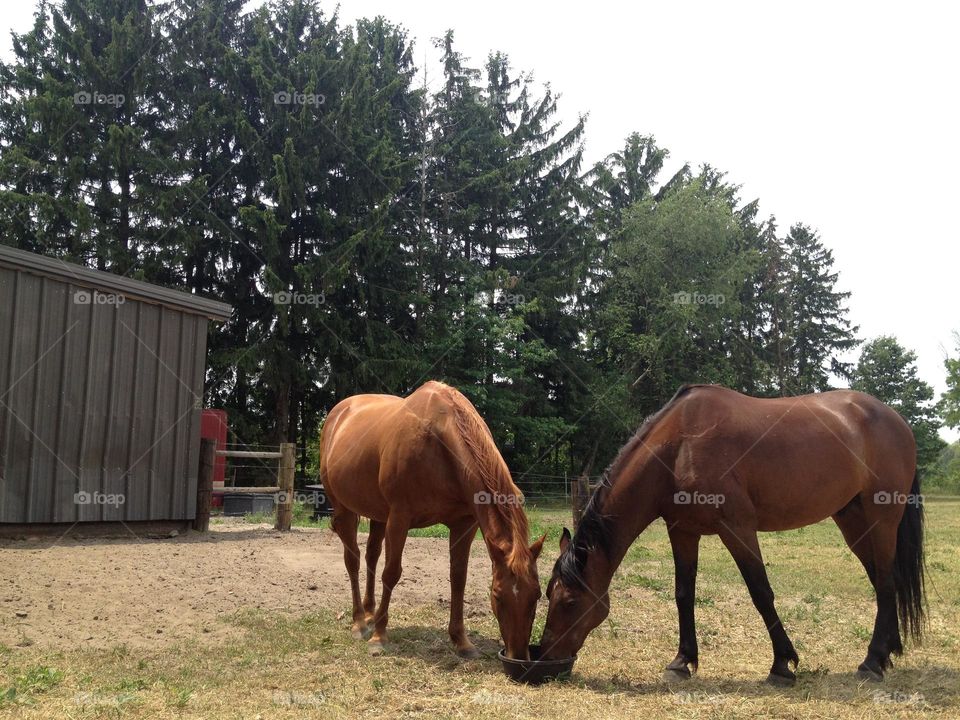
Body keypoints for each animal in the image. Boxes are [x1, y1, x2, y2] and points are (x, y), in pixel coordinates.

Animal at [320, 380, 545, 659]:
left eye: (537, 595)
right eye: (498, 594)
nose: (518, 656)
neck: (438, 441)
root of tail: (338, 414)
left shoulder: (464, 524)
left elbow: (458, 577)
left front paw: (461, 641)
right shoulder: (400, 519)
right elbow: (391, 573)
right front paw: (379, 637)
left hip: (378, 514)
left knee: (372, 554)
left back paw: (371, 612)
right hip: (345, 510)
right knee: (353, 560)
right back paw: (360, 623)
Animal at [540, 384, 925, 684]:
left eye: (570, 602)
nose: (545, 659)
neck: (680, 447)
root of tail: (896, 420)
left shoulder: (737, 528)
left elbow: (760, 592)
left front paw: (782, 664)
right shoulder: (682, 531)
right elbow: (683, 594)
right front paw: (682, 661)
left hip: (882, 520)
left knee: (886, 583)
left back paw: (872, 662)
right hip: (853, 521)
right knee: (885, 582)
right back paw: (888, 651)